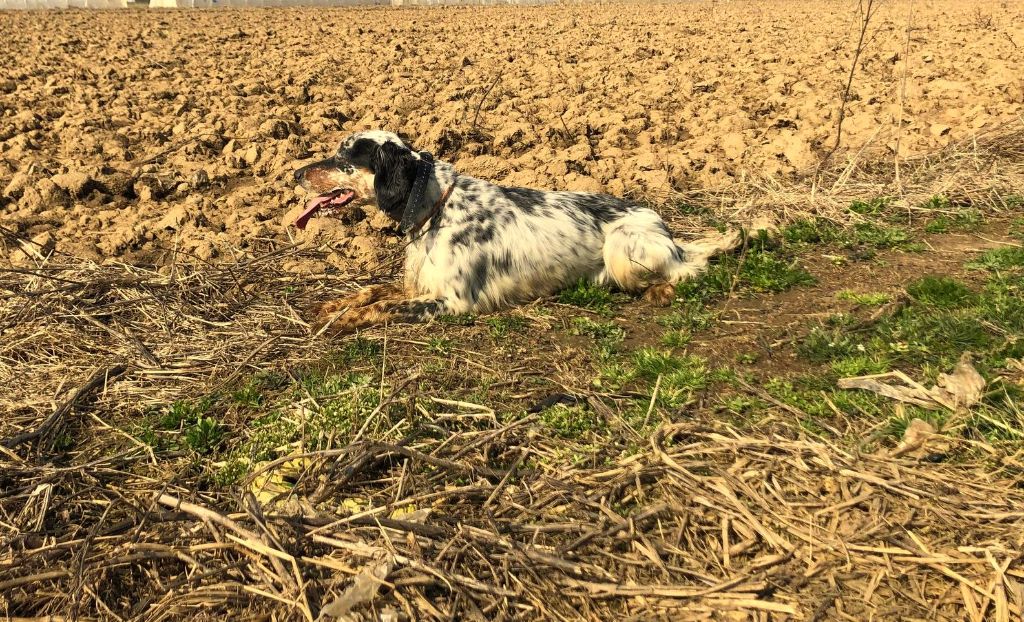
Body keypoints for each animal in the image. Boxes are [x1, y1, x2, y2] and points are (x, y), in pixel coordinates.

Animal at [292, 131, 741, 334]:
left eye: (344, 157)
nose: (296, 173)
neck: (436, 208)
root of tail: (665, 229)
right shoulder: (417, 284)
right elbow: (371, 292)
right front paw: (333, 306)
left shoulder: (453, 301)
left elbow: (384, 307)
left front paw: (345, 319)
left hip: (623, 247)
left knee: (689, 269)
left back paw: (662, 289)